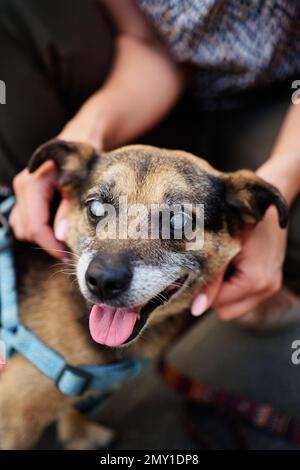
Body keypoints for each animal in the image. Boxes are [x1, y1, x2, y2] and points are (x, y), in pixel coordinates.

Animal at [0, 140, 288, 448]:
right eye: (96, 208)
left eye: (178, 221)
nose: (102, 281)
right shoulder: (12, 422)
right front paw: (78, 434)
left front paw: (78, 434)